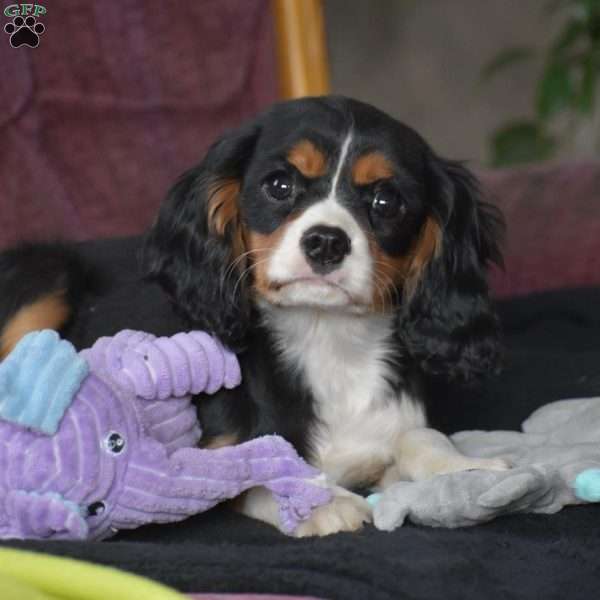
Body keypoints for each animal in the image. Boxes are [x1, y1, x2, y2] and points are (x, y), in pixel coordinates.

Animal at [0, 96, 508, 536]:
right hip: (50, 271)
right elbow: (254, 468)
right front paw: (322, 502)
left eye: (386, 201)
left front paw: (466, 469)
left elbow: (419, 437)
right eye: (279, 185)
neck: (326, 340)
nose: (326, 241)